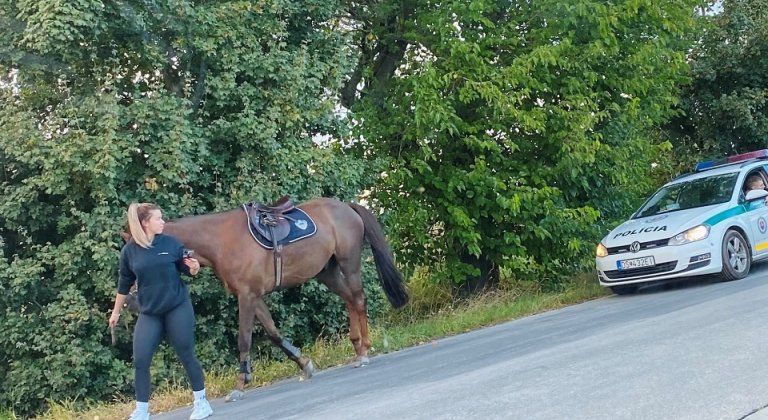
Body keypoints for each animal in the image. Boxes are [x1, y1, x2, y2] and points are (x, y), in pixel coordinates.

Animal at [155, 197, 408, 400]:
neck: (221, 241)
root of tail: (347, 206)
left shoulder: (247, 296)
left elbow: (244, 339)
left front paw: (239, 385)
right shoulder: (253, 296)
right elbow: (273, 333)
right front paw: (304, 363)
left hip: (350, 264)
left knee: (358, 300)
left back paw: (364, 350)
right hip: (327, 272)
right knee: (349, 300)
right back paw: (356, 346)